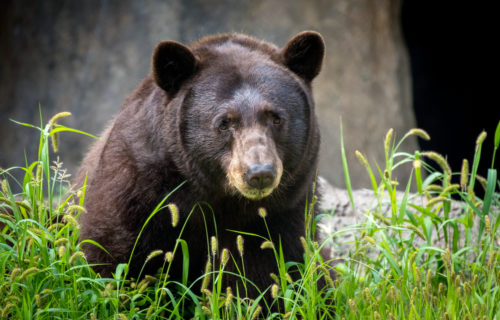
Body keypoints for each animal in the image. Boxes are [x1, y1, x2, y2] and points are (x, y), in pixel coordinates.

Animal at [74, 30, 324, 298]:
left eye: (276, 118)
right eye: (224, 122)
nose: (259, 173)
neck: (220, 197)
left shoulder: (285, 212)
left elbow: (272, 273)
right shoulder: (137, 189)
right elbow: (114, 253)